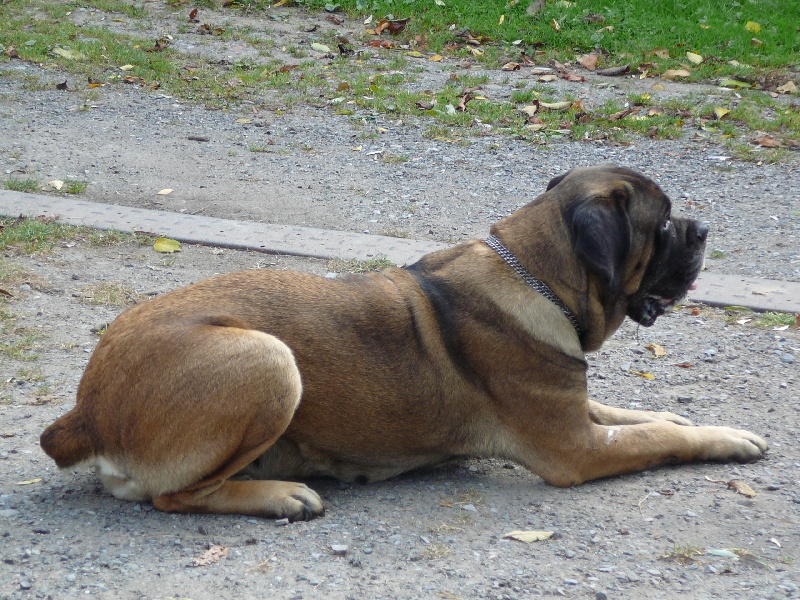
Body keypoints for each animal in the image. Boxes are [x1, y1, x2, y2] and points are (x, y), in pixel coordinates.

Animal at [40, 165, 764, 520]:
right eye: (662, 223)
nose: (702, 230)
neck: (535, 272)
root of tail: (85, 411)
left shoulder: (574, 406)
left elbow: (640, 413)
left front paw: (703, 423)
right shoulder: (575, 447)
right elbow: (655, 437)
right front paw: (720, 439)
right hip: (269, 358)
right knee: (175, 497)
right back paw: (281, 495)